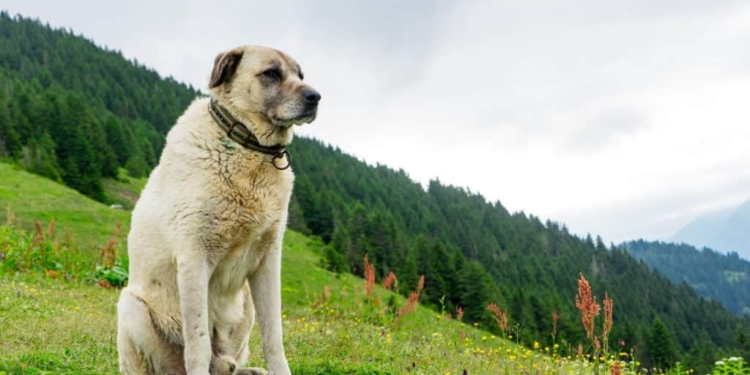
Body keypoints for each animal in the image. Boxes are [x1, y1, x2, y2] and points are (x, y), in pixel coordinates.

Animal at [116, 44, 322, 375]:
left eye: (300, 75)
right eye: (272, 73)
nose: (315, 97)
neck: (248, 148)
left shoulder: (268, 262)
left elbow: (274, 336)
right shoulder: (194, 258)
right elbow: (198, 340)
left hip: (246, 305)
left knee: (227, 363)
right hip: (131, 306)